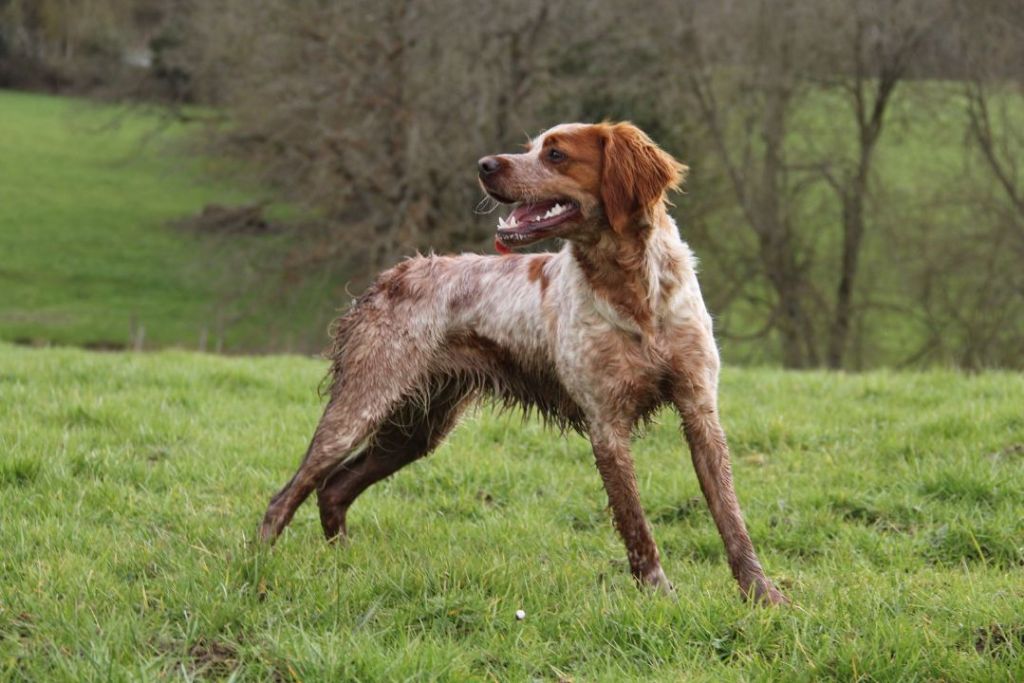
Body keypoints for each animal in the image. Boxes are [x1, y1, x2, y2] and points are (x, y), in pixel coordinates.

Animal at [260, 121, 786, 602]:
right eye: (530, 147)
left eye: (555, 154)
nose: (484, 165)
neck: (633, 292)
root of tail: (389, 277)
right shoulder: (606, 424)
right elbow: (636, 523)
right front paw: (657, 593)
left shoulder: (699, 409)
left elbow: (730, 516)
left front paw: (762, 594)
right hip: (361, 406)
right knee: (286, 496)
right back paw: (258, 568)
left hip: (419, 429)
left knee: (334, 488)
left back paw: (344, 566)